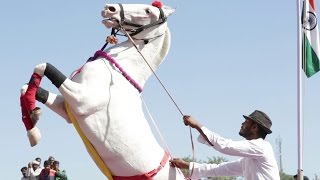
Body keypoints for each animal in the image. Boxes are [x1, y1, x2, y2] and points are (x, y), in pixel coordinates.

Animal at [20, 1, 185, 180]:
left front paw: (34, 128)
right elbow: (27, 87)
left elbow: (43, 66)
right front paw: (33, 123)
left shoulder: (81, 100)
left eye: (148, 11)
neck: (117, 70)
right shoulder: (66, 108)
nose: (109, 8)